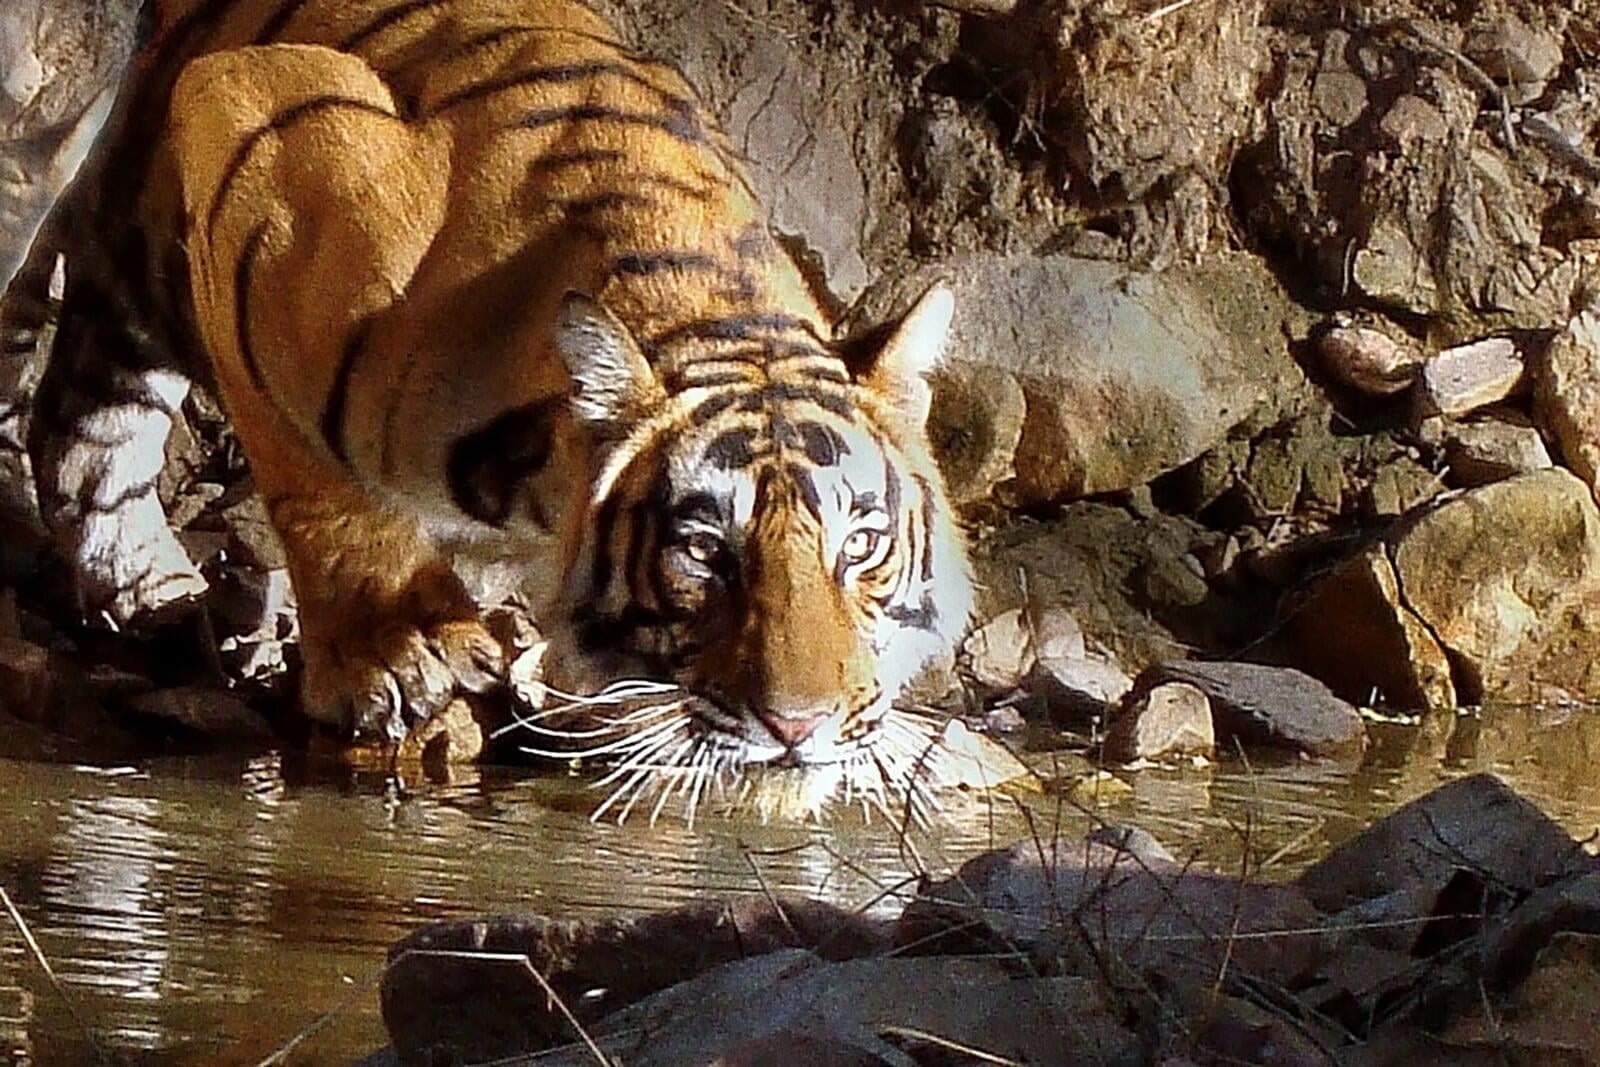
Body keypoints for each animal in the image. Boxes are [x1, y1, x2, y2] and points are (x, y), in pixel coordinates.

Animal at [21, 0, 972, 819]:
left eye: (863, 545)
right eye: (705, 552)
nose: (797, 726)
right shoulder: (259, 126)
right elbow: (318, 485)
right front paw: (393, 650)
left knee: (81, 427)